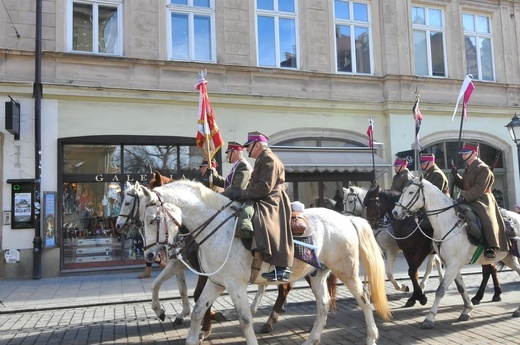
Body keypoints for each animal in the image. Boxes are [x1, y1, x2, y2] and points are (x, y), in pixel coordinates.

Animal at [138, 180, 390, 344]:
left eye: (152, 220)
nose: (149, 255)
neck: (217, 229)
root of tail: (347, 219)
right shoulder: (216, 283)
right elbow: (198, 311)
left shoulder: (235, 286)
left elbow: (245, 320)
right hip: (317, 274)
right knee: (324, 305)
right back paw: (312, 339)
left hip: (346, 270)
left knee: (364, 300)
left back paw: (371, 337)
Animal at [392, 176, 520, 326]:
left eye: (411, 192)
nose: (395, 212)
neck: (446, 222)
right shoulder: (452, 264)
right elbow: (461, 288)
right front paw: (467, 310)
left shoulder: (451, 264)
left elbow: (440, 290)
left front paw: (429, 317)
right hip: (509, 258)